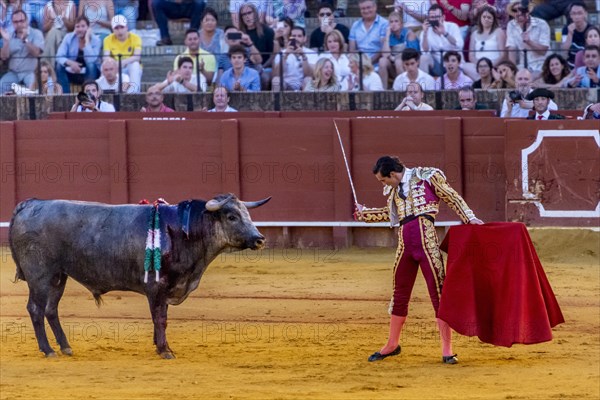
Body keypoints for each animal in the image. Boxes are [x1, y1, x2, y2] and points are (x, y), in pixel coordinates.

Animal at [8, 194, 270, 360]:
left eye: (247, 214)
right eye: (232, 217)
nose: (259, 239)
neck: (181, 231)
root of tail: (30, 204)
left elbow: (160, 317)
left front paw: (160, 346)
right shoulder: (157, 286)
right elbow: (160, 318)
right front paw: (165, 350)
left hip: (58, 276)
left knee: (51, 309)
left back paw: (65, 347)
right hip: (39, 275)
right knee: (35, 308)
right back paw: (48, 350)